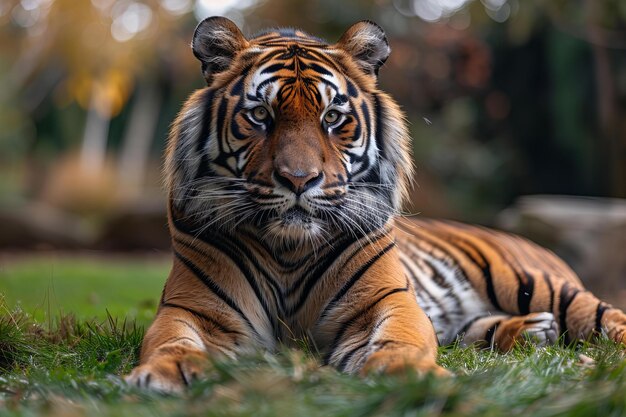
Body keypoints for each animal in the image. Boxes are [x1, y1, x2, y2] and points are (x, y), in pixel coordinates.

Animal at [124, 16, 624, 392]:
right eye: (260, 115)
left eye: (332, 118)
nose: (299, 180)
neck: (288, 249)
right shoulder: (193, 308)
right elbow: (171, 340)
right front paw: (167, 371)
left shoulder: (388, 301)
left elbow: (401, 338)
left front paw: (409, 372)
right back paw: (533, 331)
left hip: (531, 281)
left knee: (603, 316)